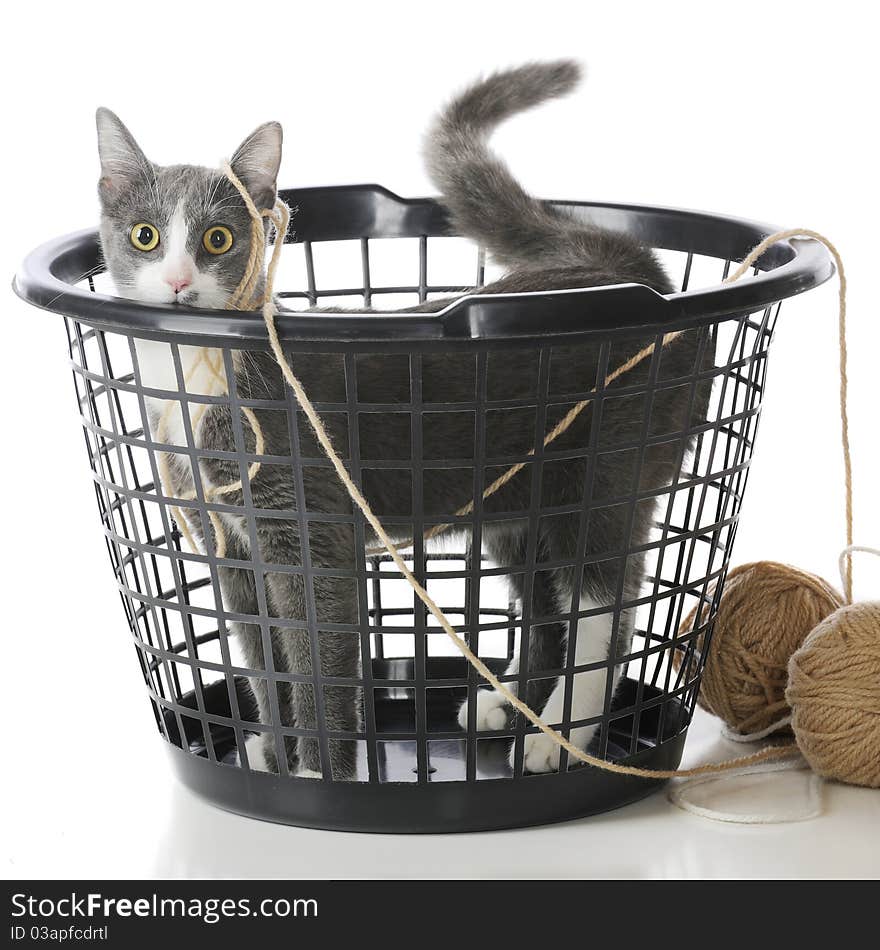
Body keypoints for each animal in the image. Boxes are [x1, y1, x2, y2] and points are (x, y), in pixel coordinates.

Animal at [96, 61, 712, 780]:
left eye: (216, 239)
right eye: (145, 235)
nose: (176, 282)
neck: (201, 380)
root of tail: (629, 273)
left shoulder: (310, 533)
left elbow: (317, 662)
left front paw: (317, 776)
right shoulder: (226, 546)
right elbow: (262, 661)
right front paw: (271, 753)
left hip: (604, 473)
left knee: (604, 605)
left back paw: (558, 736)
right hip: (511, 500)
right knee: (544, 605)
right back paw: (505, 707)